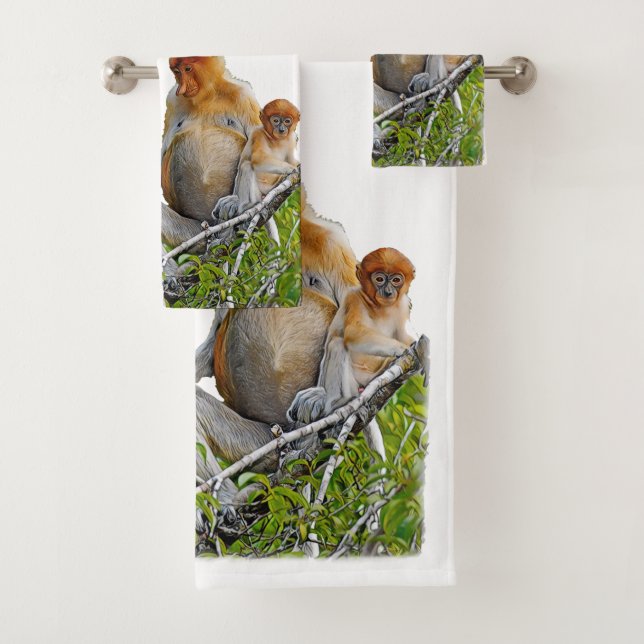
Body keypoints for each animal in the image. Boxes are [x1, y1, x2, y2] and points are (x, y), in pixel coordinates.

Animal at [161, 56, 262, 248]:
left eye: (187, 69)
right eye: (176, 72)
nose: (181, 88)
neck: (207, 96)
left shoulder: (244, 95)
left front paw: (234, 202)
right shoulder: (172, 100)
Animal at [213, 99, 300, 227]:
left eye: (287, 121)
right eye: (275, 120)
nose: (281, 129)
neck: (276, 141)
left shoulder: (292, 138)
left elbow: (292, 160)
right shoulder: (258, 133)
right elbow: (258, 158)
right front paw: (292, 169)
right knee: (247, 166)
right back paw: (247, 206)